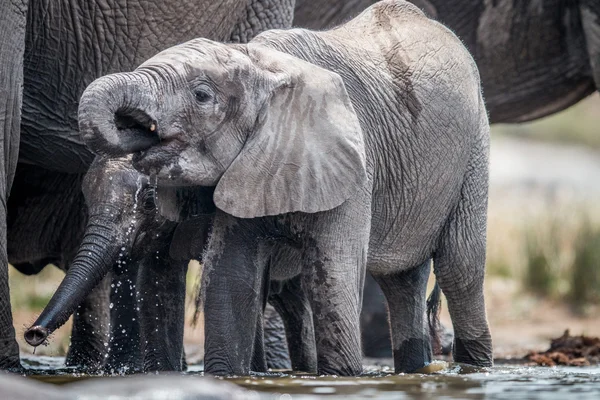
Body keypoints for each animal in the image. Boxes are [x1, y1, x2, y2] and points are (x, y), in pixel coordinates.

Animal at [79, 0, 492, 376]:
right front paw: (226, 375)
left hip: (475, 147)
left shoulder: (353, 163)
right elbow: (231, 277)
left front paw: (339, 378)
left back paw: (475, 369)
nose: (133, 128)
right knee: (402, 281)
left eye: (202, 95)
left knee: (460, 268)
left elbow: (333, 276)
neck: (262, 65)